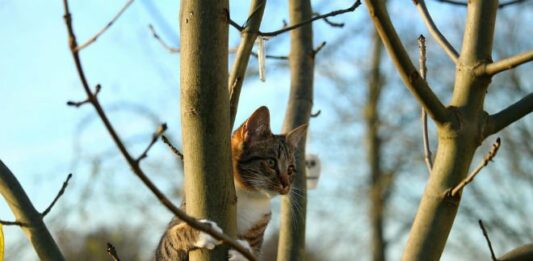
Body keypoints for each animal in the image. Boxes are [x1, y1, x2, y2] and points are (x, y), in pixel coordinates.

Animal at [155, 106, 304, 260]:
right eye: (271, 162)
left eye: (291, 169)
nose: (286, 185)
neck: (250, 196)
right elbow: (170, 241)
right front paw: (203, 231)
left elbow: (252, 255)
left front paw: (242, 253)